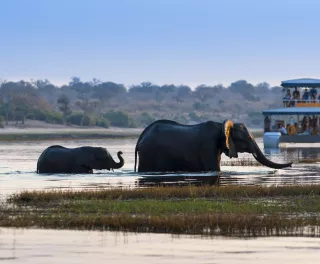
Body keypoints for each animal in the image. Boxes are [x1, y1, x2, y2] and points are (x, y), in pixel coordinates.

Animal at [134, 118, 294, 172]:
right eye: (248, 138)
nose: (292, 163)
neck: (221, 126)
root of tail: (141, 137)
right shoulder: (208, 145)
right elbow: (214, 169)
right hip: (148, 154)